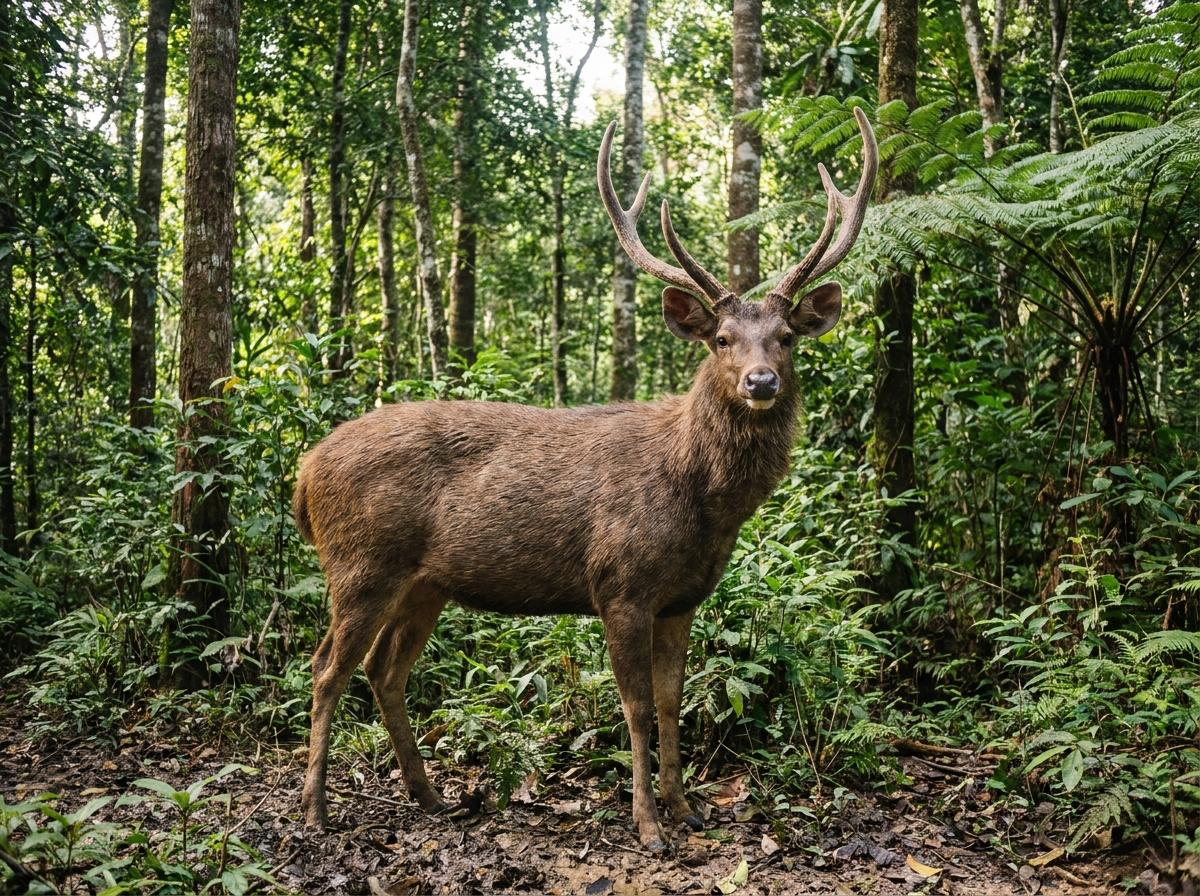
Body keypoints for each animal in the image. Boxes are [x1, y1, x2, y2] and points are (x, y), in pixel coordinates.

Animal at [296, 107, 877, 852]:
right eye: (720, 339)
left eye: (786, 336)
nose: (760, 381)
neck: (701, 500)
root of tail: (306, 471)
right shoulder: (619, 582)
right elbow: (633, 707)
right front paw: (649, 825)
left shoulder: (682, 598)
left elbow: (672, 702)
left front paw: (686, 807)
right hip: (360, 562)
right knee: (327, 669)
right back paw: (315, 811)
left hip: (426, 581)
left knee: (383, 669)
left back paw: (431, 797)